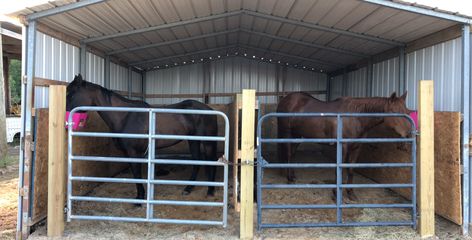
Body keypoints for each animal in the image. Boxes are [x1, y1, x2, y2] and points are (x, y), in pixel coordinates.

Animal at [66, 74, 219, 202]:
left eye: (72, 94)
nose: (66, 119)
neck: (125, 116)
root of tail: (209, 110)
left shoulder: (134, 152)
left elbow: (137, 173)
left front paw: (140, 198)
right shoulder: (129, 153)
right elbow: (135, 174)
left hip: (208, 142)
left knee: (211, 161)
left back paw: (210, 191)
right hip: (193, 140)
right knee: (197, 161)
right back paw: (188, 188)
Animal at [278, 91, 412, 200]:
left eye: (407, 112)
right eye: (394, 112)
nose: (409, 133)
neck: (355, 117)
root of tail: (285, 99)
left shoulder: (356, 148)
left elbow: (351, 169)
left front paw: (351, 193)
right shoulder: (342, 148)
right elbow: (340, 169)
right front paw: (336, 194)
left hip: (297, 135)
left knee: (292, 154)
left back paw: (293, 176)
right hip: (287, 133)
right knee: (288, 153)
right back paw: (289, 179)